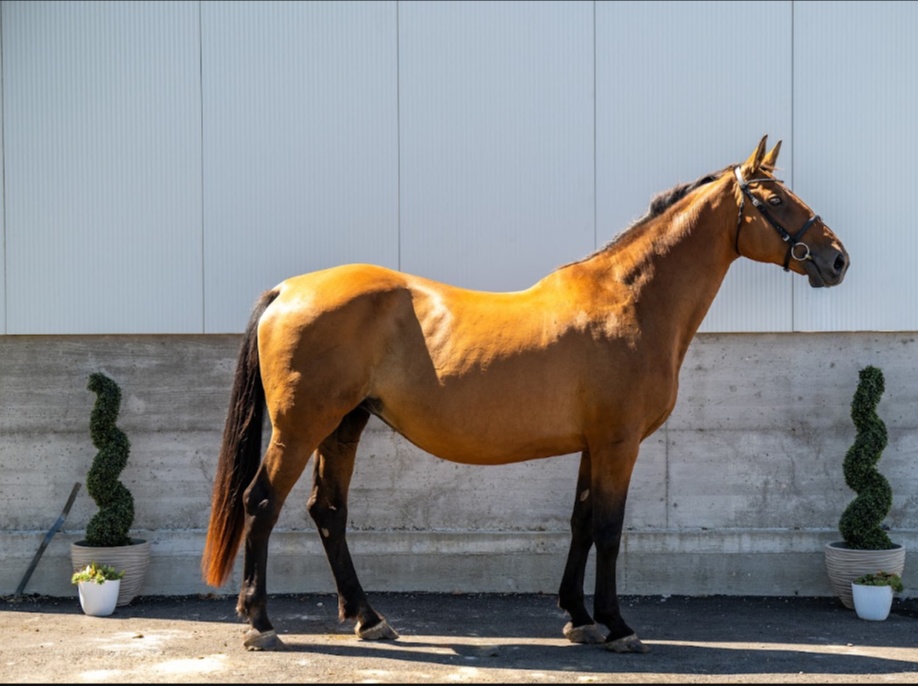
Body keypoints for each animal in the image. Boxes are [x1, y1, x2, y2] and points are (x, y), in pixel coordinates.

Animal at [202, 137, 849, 652]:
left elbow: (581, 520)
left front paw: (578, 618)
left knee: (328, 512)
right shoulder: (619, 444)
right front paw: (617, 626)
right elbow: (609, 528)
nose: (836, 259)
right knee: (261, 503)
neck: (629, 300)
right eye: (774, 201)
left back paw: (369, 618)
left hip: (344, 425)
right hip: (301, 427)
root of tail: (289, 289)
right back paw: (259, 624)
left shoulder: (595, 444)